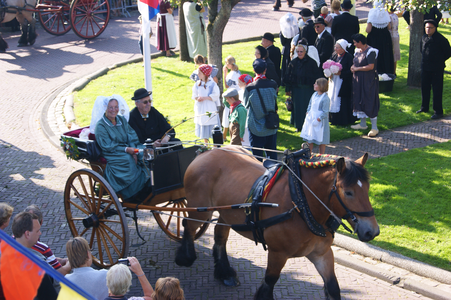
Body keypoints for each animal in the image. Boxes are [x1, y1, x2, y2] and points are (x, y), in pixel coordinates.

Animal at [177, 148, 382, 300]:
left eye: (368, 188)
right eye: (348, 192)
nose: (372, 231)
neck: (301, 203)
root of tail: (205, 152)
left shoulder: (322, 253)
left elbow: (333, 287)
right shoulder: (278, 253)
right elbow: (269, 283)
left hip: (226, 213)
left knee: (220, 235)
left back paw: (225, 273)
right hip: (200, 208)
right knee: (188, 225)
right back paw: (185, 256)